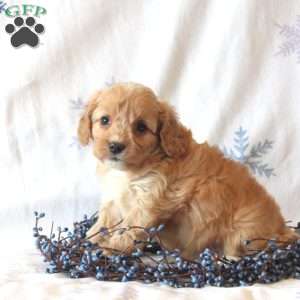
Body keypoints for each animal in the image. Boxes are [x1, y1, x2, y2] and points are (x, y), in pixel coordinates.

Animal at [77, 82, 298, 260]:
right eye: (104, 120)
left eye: (141, 127)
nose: (115, 146)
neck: (128, 171)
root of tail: (284, 230)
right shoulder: (113, 199)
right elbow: (103, 223)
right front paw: (87, 243)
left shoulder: (147, 203)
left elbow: (128, 230)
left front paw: (110, 249)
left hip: (244, 233)